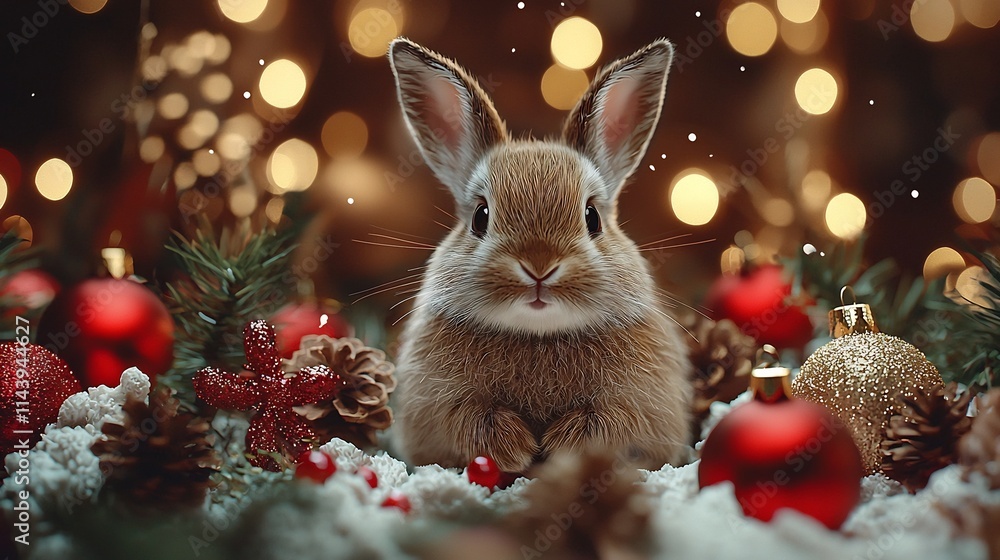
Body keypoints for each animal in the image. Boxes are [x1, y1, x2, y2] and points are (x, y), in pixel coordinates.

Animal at [388, 37, 692, 473]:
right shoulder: (435, 410)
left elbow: (608, 425)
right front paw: (517, 448)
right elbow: (467, 420)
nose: (539, 266)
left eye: (592, 217)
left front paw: (558, 448)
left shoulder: (643, 412)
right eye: (480, 217)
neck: (538, 334)